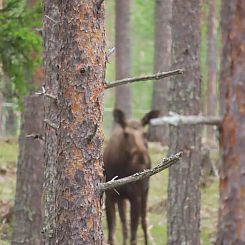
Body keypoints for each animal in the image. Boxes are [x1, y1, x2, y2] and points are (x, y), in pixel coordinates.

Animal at [104, 109, 160, 245]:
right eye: (126, 133)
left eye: (144, 134)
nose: (141, 156)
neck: (121, 169)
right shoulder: (110, 196)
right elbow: (112, 236)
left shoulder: (136, 196)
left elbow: (134, 236)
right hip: (122, 198)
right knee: (124, 224)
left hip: (145, 192)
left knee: (144, 222)